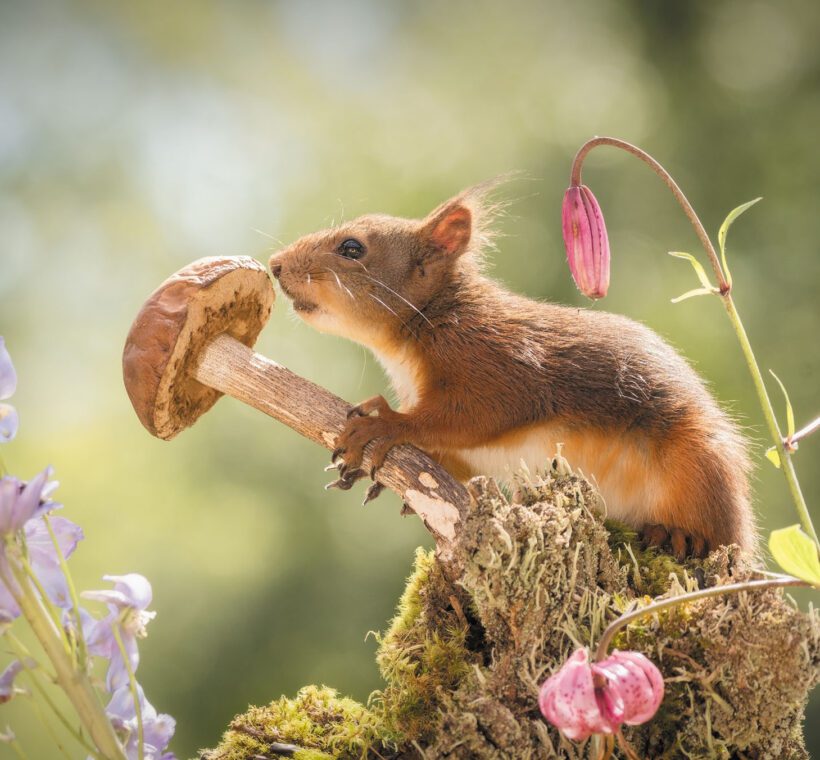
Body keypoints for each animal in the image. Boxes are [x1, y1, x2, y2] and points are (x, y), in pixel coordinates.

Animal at [270, 181, 756, 556]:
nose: (275, 265)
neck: (430, 321)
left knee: (718, 531)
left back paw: (679, 535)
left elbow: (476, 415)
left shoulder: (501, 364)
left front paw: (385, 423)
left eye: (352, 248)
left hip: (701, 465)